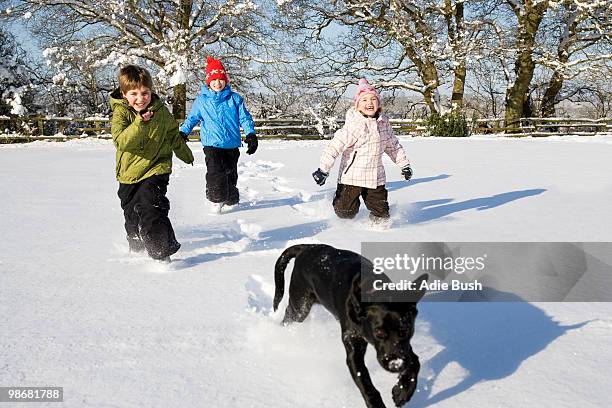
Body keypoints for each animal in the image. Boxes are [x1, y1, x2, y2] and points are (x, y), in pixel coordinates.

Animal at [272, 244, 426, 406]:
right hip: (300, 306)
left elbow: (415, 361)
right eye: (378, 333)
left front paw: (402, 391)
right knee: (288, 315)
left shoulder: (405, 347)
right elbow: (364, 380)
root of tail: (307, 247)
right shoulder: (353, 345)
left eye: (405, 331)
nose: (396, 365)